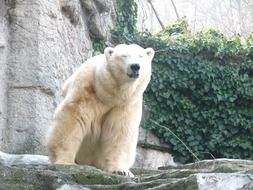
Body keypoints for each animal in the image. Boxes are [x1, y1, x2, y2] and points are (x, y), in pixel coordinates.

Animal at [46, 43, 155, 177]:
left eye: (141, 56)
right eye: (124, 56)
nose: (135, 66)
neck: (109, 94)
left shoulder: (126, 103)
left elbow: (119, 130)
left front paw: (120, 170)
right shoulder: (86, 88)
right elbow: (73, 119)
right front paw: (65, 162)